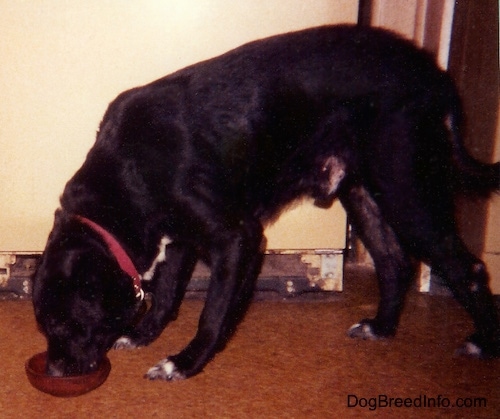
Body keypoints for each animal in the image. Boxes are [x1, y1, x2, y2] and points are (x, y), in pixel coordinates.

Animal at [33, 25, 498, 380]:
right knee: (395, 263)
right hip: (364, 193)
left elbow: (212, 315)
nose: (53, 369)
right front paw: (144, 334)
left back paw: (484, 342)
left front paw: (185, 363)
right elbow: (165, 295)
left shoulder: (236, 238)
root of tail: (433, 74)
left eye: (62, 322)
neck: (128, 171)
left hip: (406, 191)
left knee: (468, 268)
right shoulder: (182, 238)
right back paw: (381, 328)